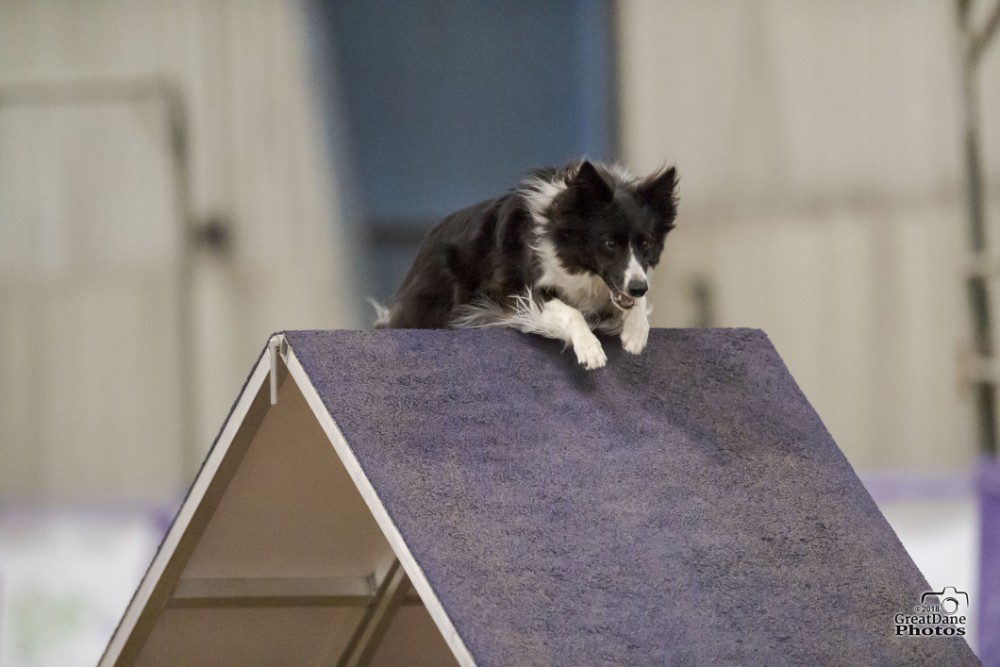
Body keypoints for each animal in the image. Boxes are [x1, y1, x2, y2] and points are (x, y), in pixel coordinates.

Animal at [374, 159, 678, 370]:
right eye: (610, 244)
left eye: (646, 243)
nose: (638, 287)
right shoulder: (515, 289)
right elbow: (569, 311)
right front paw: (590, 349)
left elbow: (631, 302)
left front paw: (635, 333)